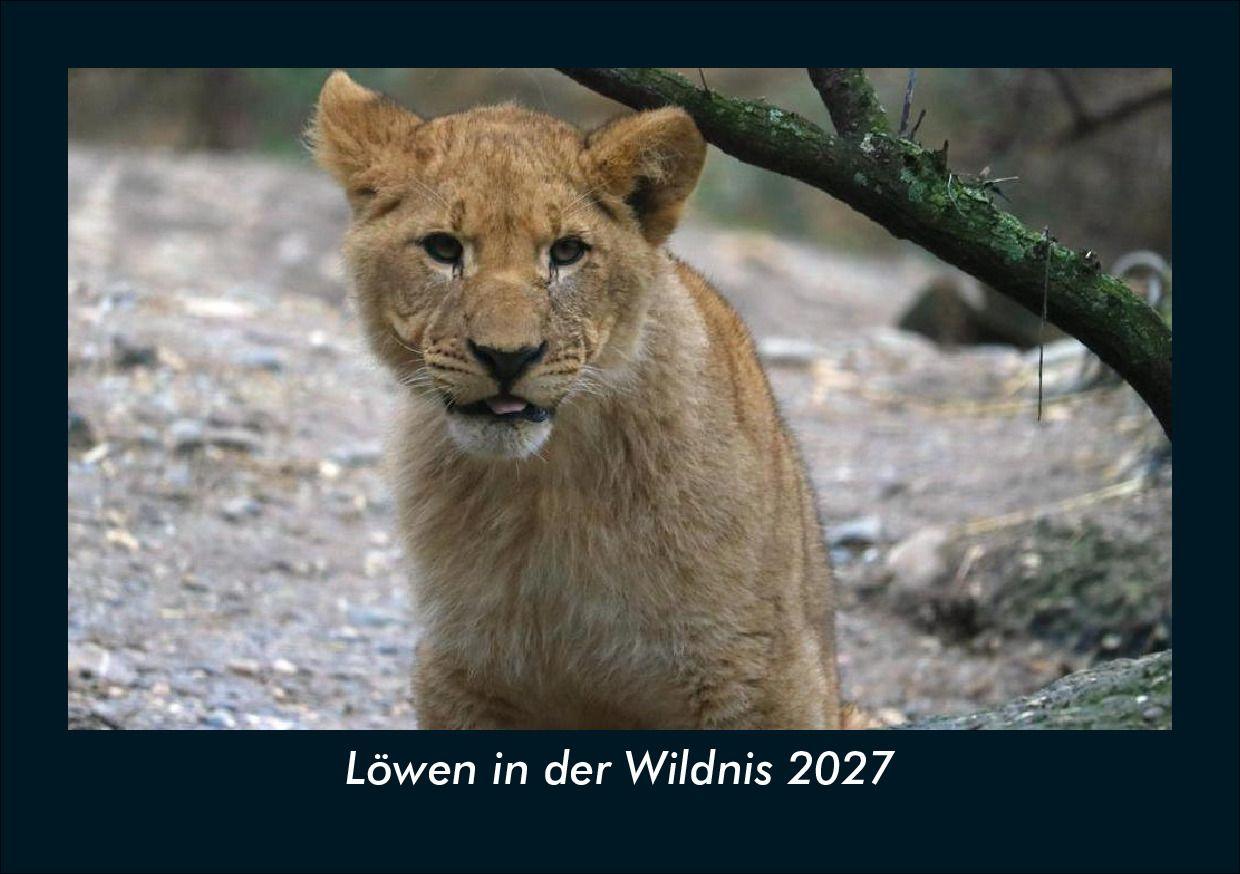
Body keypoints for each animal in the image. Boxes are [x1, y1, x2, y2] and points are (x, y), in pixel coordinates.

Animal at [310, 71, 841, 728]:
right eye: (443, 248)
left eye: (566, 252)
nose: (507, 357)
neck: (547, 488)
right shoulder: (461, 675)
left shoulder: (759, 676)